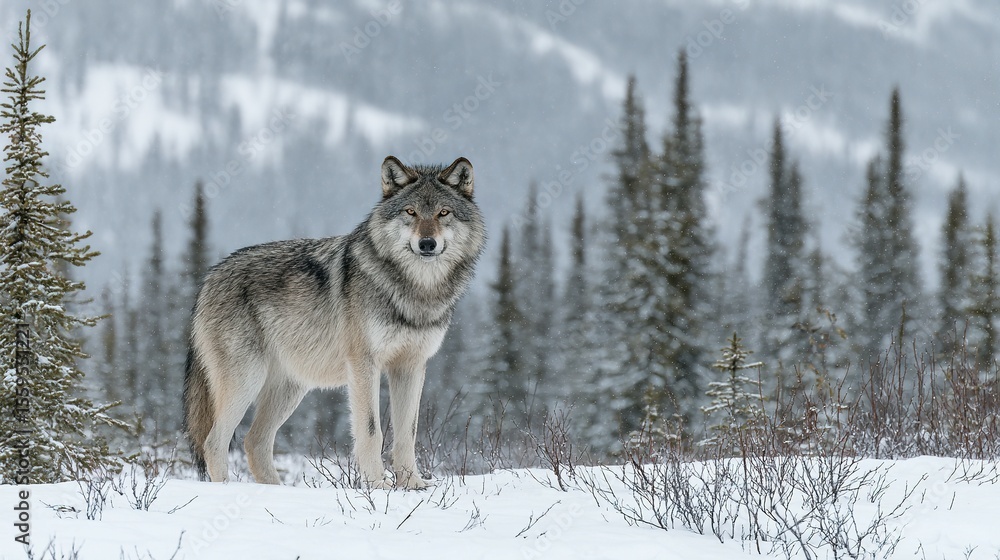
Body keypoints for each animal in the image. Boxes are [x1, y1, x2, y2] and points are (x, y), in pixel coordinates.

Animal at [183, 156, 486, 489]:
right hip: (246, 380)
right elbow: (371, 431)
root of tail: (208, 279)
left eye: (443, 213)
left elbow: (408, 433)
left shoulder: (411, 366)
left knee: (254, 441)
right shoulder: (364, 364)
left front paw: (413, 485)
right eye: (411, 212)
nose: (427, 243)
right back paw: (228, 490)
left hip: (290, 388)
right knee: (215, 442)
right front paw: (378, 486)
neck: (416, 291)